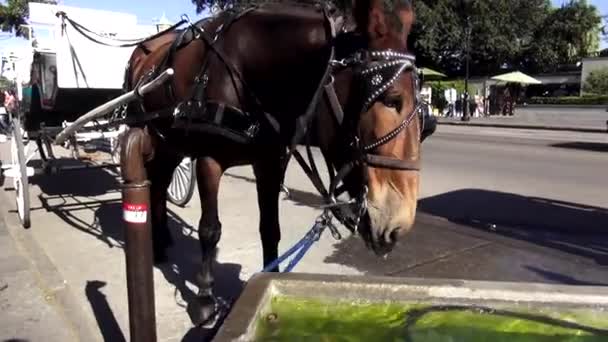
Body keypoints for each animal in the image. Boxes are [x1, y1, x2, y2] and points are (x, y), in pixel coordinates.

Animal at [121, 0, 428, 326]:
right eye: (392, 100)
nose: (398, 224)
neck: (246, 72)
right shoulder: (208, 159)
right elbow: (209, 229)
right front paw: (204, 297)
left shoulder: (269, 161)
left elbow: (270, 228)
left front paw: (271, 277)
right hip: (152, 137)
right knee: (155, 181)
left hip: (171, 143)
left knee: (160, 183)